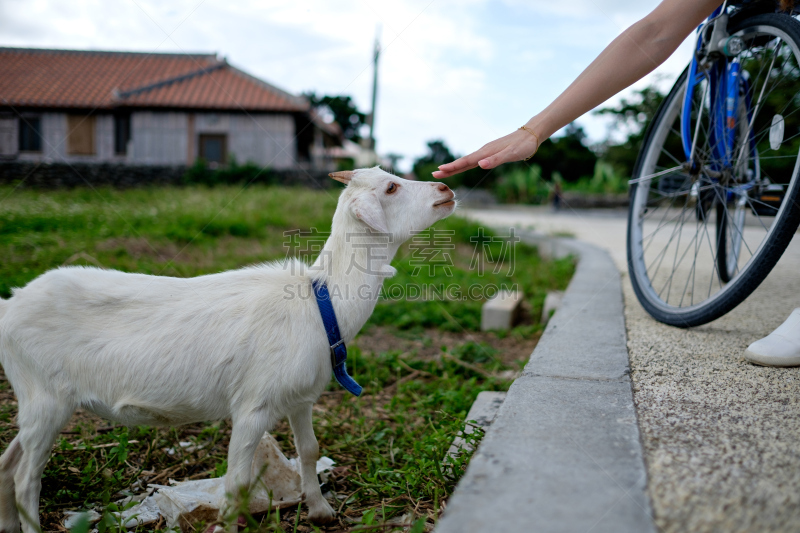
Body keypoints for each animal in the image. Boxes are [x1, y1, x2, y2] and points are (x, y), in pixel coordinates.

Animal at [0, 167, 456, 532]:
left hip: (37, 401)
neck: (321, 301)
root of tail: (11, 304)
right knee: (26, 479)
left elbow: (309, 451)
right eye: (391, 187)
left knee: (8, 464)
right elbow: (237, 483)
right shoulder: (252, 406)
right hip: (47, 397)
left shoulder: (300, 398)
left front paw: (320, 510)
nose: (446, 188)